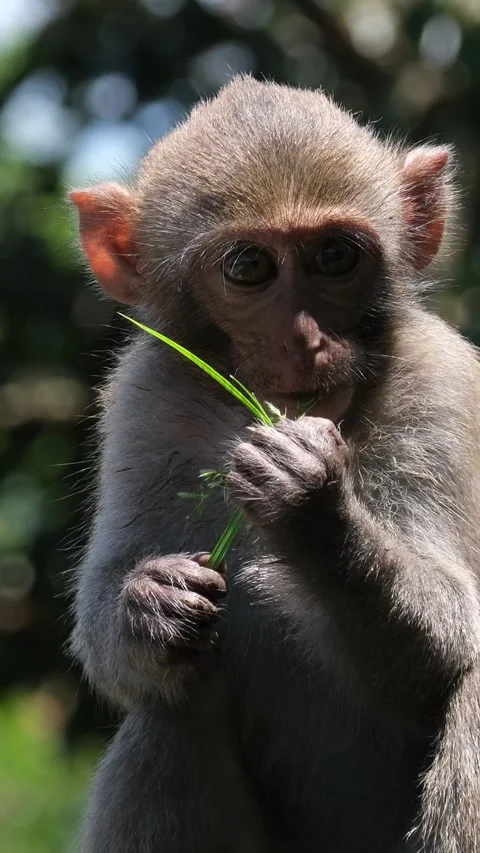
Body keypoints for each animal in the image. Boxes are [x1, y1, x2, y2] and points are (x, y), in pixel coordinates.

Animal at [70, 76, 480, 853]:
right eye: (248, 267)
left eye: (336, 257)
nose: (305, 340)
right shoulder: (143, 399)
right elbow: (108, 635)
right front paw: (148, 601)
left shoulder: (444, 386)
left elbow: (457, 632)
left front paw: (311, 509)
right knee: (175, 709)